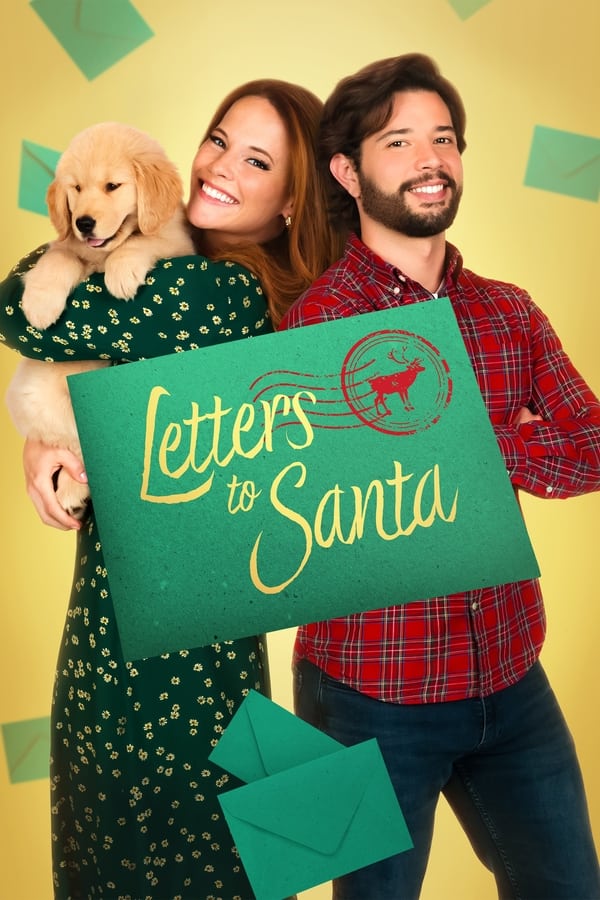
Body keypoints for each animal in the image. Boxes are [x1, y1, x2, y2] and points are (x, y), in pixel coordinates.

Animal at [6, 125, 195, 520]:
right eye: (76, 189)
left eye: (112, 186)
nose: (84, 222)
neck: (101, 254)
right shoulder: (65, 245)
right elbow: (59, 255)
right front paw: (39, 304)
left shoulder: (176, 240)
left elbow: (143, 241)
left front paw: (121, 273)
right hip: (38, 398)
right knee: (74, 445)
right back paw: (73, 490)